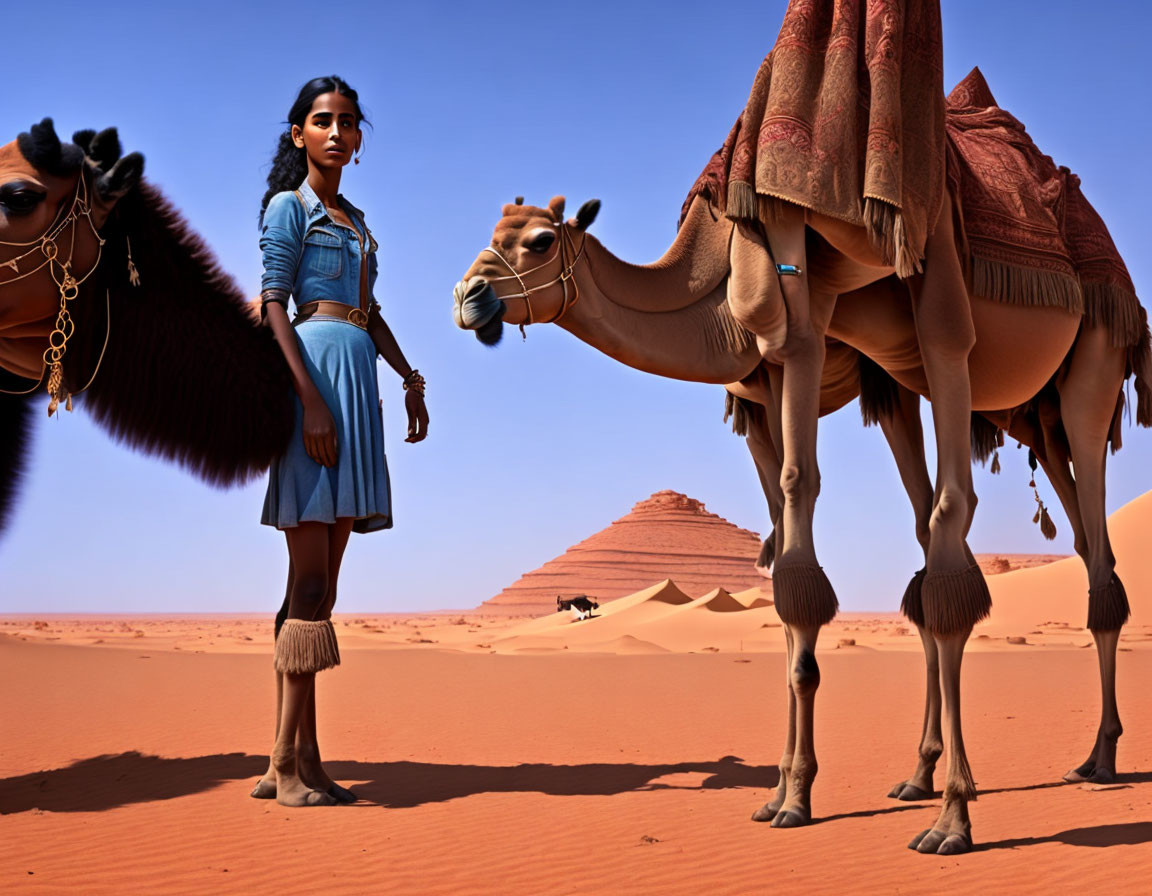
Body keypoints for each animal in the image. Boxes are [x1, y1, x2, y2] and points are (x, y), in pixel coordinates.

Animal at [453, 176, 1147, 852]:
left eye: (540, 240)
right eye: (494, 232)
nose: (468, 295)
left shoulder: (798, 346)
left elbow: (800, 524)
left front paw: (800, 797)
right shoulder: (761, 394)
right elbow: (784, 568)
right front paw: (779, 792)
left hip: (1090, 359)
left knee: (1073, 534)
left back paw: (1088, 764)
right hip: (1002, 406)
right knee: (1032, 542)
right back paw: (930, 774)